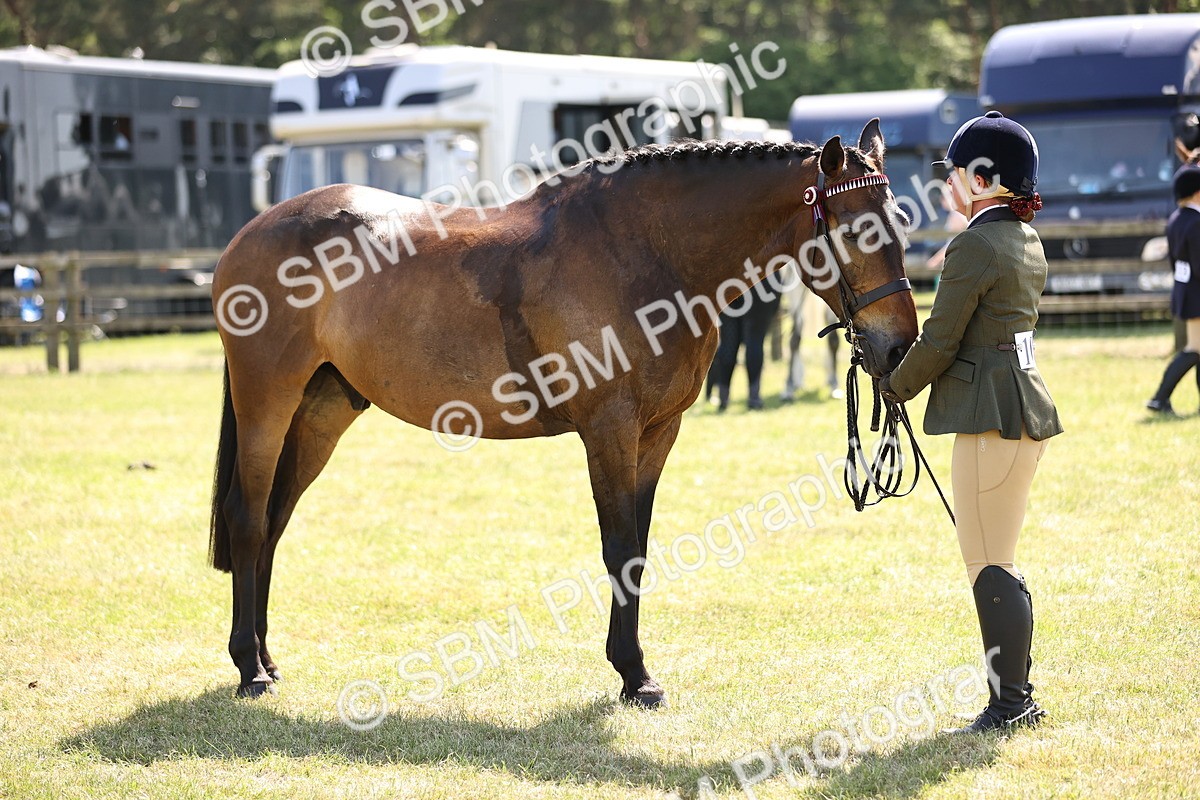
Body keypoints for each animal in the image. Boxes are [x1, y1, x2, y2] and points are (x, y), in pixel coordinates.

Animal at [208, 119, 919, 706]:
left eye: (903, 222)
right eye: (856, 229)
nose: (898, 347)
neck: (646, 254)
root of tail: (251, 232)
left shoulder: (658, 432)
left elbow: (638, 548)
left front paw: (634, 670)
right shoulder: (609, 430)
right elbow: (619, 547)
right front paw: (634, 675)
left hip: (321, 413)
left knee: (273, 525)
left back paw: (268, 660)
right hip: (267, 404)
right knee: (248, 520)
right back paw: (249, 669)